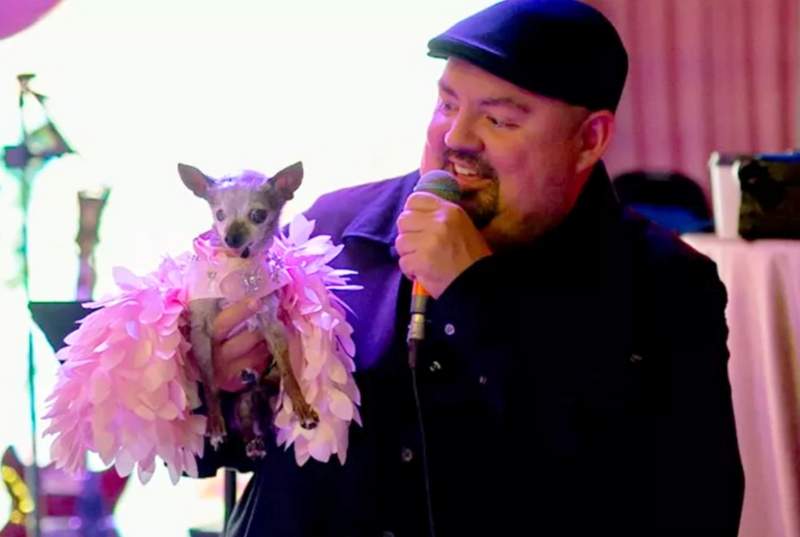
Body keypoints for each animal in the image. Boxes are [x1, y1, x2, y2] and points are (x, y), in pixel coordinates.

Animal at [180, 160, 320, 456]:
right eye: (219, 214)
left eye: (258, 215)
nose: (231, 238)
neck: (237, 268)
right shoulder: (201, 331)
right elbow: (209, 383)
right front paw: (215, 424)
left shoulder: (272, 325)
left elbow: (289, 373)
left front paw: (302, 407)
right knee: (242, 415)